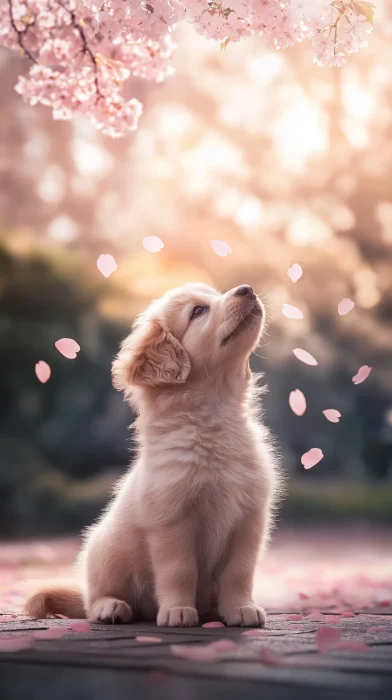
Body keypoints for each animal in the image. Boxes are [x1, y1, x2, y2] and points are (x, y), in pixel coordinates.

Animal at [24, 284, 280, 628]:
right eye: (198, 311)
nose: (247, 289)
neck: (214, 417)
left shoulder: (249, 519)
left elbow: (239, 572)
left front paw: (241, 608)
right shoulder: (171, 521)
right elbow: (180, 571)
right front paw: (177, 610)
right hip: (104, 551)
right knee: (93, 600)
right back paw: (111, 607)